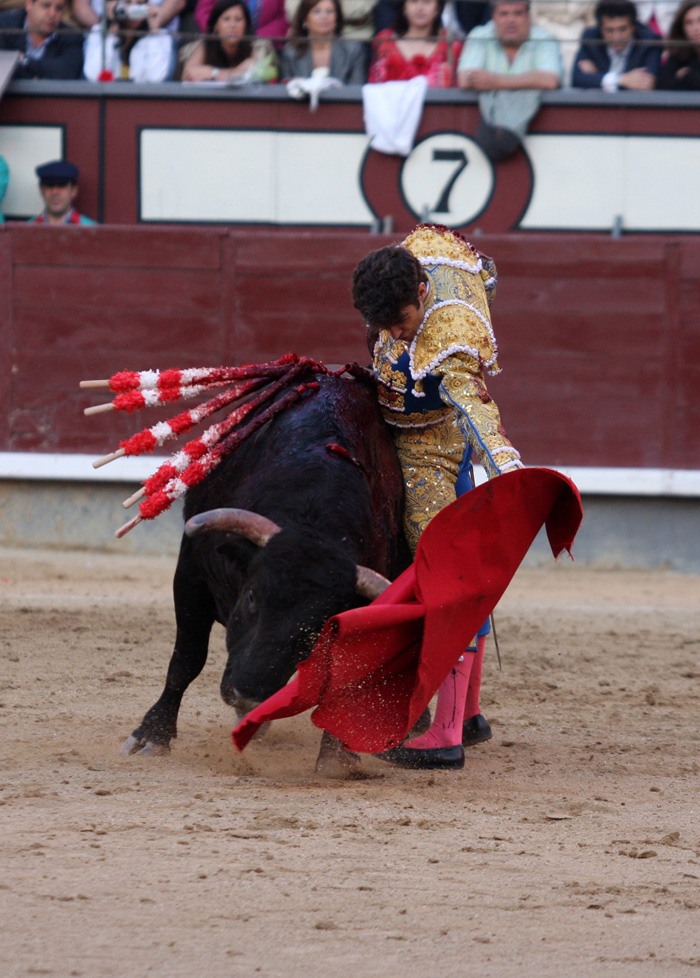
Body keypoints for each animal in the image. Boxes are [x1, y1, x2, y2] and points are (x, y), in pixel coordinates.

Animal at [120, 367, 414, 775]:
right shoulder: (191, 574)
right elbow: (186, 658)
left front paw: (337, 756)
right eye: (252, 596)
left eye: (317, 631)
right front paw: (152, 735)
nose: (245, 693)